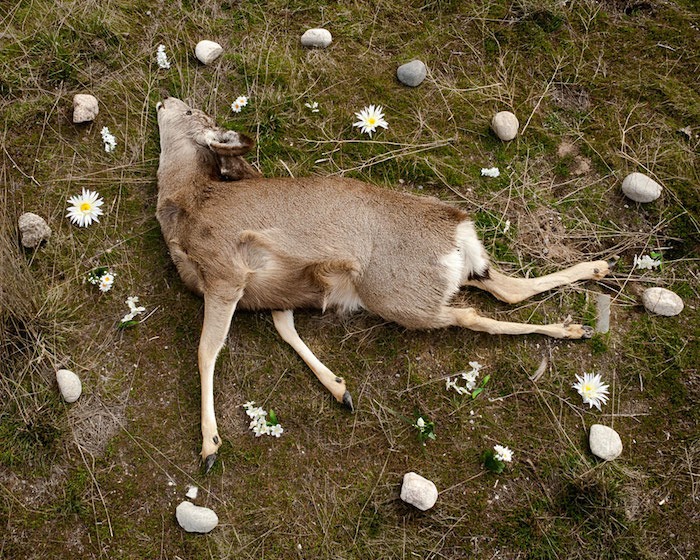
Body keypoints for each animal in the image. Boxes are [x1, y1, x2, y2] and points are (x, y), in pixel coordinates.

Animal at [155, 96, 616, 472]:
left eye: (192, 112)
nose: (164, 100)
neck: (186, 201)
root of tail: (456, 230)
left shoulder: (226, 274)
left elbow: (207, 350)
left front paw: (210, 445)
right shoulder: (274, 290)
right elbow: (286, 329)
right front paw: (339, 388)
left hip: (399, 298)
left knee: (472, 312)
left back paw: (576, 319)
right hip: (460, 273)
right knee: (505, 287)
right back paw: (593, 282)